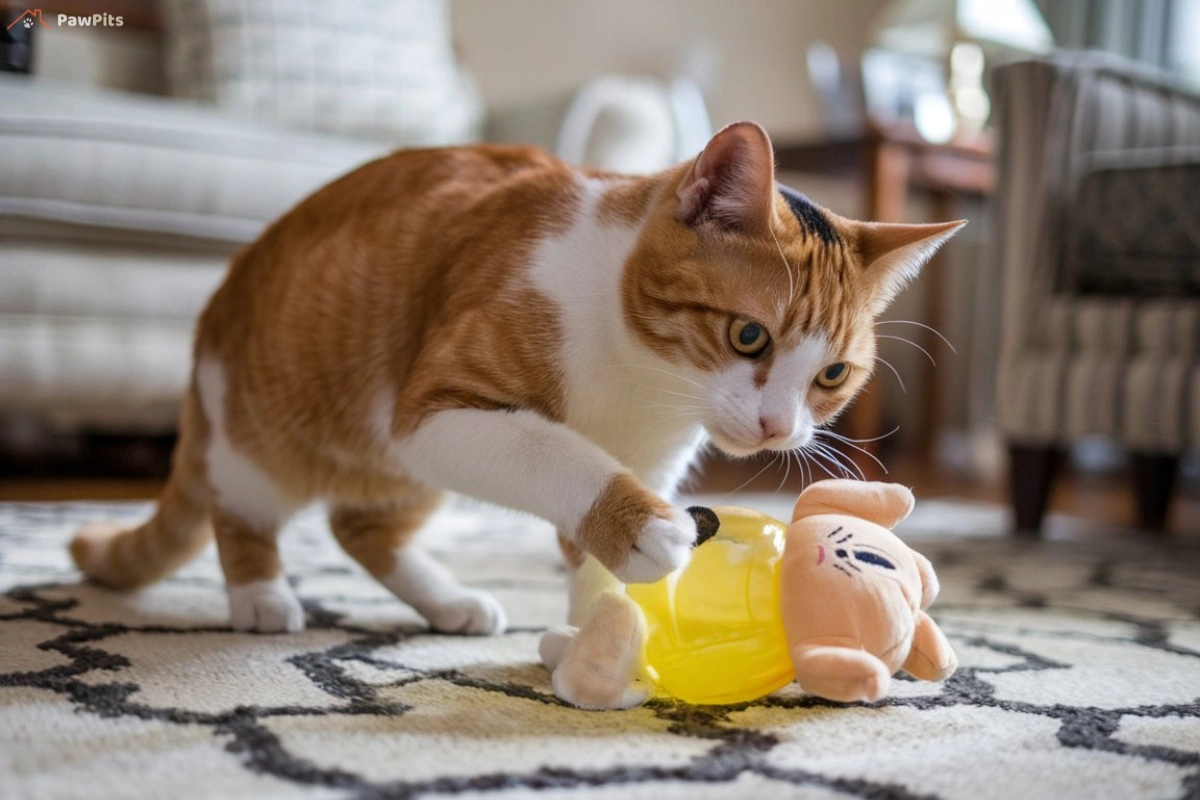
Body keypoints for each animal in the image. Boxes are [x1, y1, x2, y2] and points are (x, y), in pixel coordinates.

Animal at [70, 122, 960, 633]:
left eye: (832, 375)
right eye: (749, 335)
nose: (779, 428)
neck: (643, 390)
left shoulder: (650, 454)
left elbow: (585, 554)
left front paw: (606, 628)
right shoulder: (435, 412)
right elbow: (559, 455)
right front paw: (645, 529)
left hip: (398, 476)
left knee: (360, 528)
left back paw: (447, 601)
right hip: (263, 444)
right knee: (243, 516)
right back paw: (261, 598)